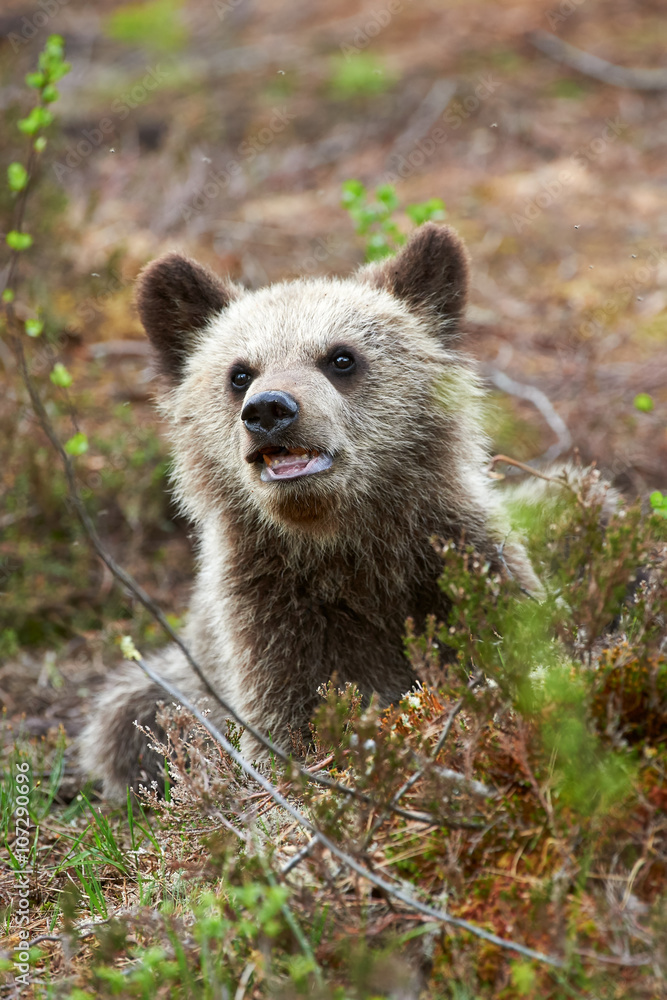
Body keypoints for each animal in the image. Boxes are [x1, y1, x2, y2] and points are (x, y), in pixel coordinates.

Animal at [79, 222, 544, 801]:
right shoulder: (269, 611)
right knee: (125, 719)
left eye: (341, 357)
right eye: (239, 373)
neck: (347, 550)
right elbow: (287, 719)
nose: (269, 409)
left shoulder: (458, 565)